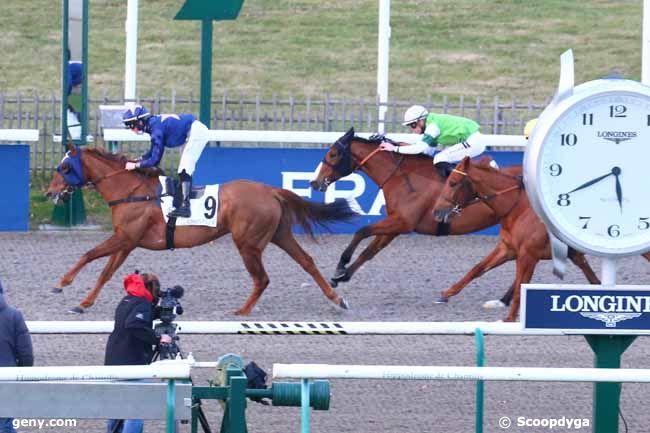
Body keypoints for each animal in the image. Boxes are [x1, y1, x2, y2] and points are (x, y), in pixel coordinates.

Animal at [44, 142, 360, 314]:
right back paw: (337, 299)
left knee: (262, 278)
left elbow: (89, 255)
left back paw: (243, 310)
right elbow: (106, 272)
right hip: (279, 235)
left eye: (64, 168)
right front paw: (83, 302)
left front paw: (62, 283)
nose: (49, 193)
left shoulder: (124, 237)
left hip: (248, 243)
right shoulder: (127, 241)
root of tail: (271, 190)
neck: (131, 191)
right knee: (306, 261)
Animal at [430, 155, 648, 320]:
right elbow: (477, 269)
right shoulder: (509, 249)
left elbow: (520, 286)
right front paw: (446, 294)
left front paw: (509, 318)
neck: (518, 208)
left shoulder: (528, 255)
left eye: (453, 183)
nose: (436, 212)